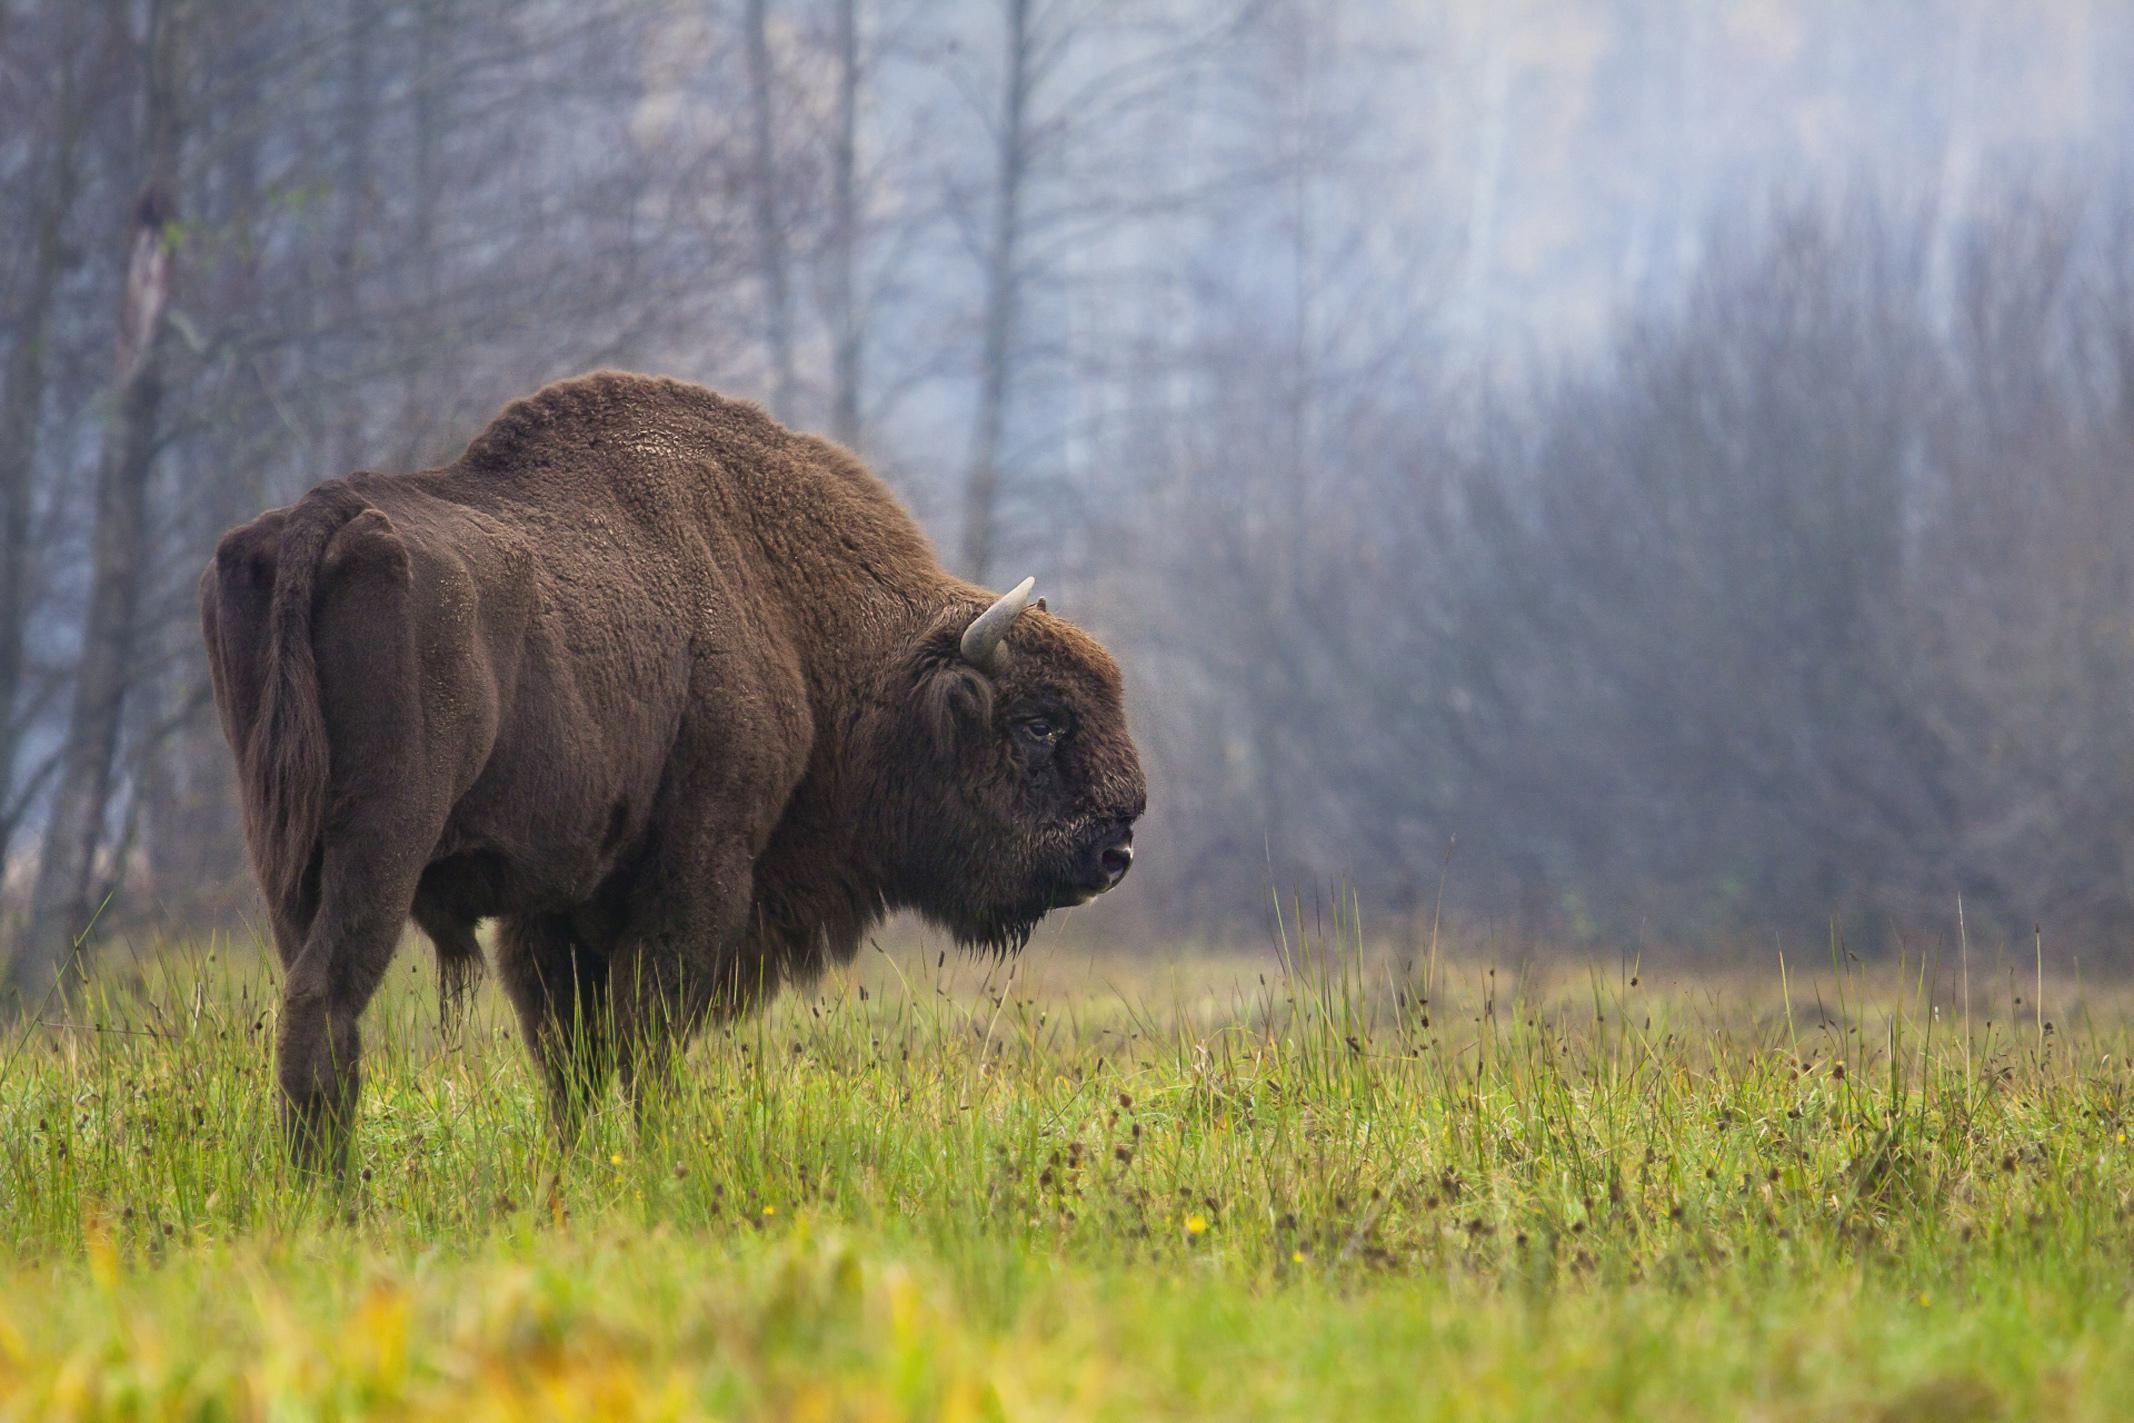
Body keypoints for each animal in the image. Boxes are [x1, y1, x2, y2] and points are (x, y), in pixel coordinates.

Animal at [196, 373, 1152, 1177]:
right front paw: (658, 1161)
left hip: (285, 855)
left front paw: (573, 1169)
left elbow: (573, 1055)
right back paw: (332, 1192)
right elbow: (645, 1038)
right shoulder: (699, 869)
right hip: (383, 845)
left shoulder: (555, 906)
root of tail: (321, 518)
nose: (1118, 847)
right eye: (1038, 722)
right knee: (326, 999)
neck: (794, 615)